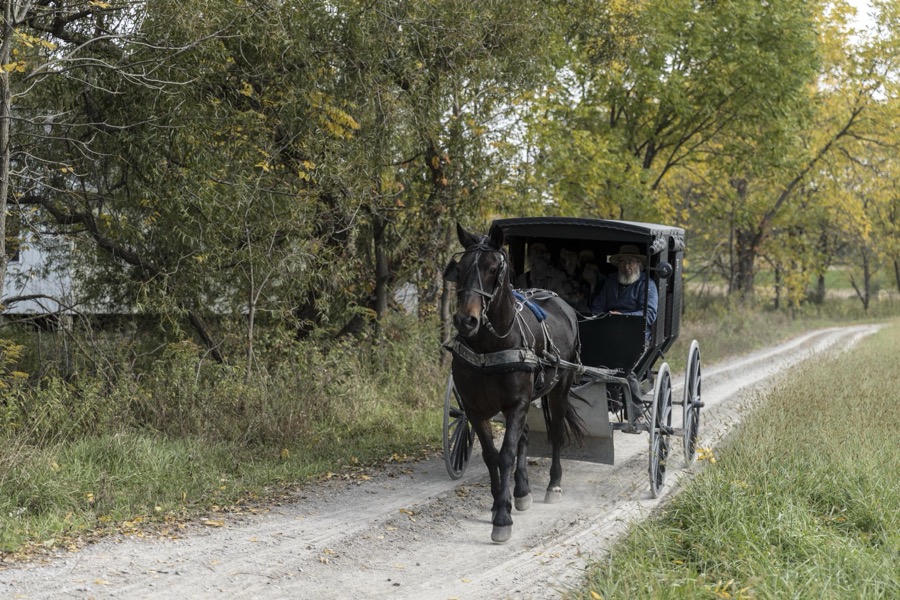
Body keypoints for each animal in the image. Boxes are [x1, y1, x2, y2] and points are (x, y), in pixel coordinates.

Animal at [444, 222, 585, 543]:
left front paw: (502, 518)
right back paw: (521, 490)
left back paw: (553, 485)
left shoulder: (517, 403)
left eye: (494, 268)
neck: (489, 347)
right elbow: (491, 455)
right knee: (524, 438)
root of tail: (560, 302)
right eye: (460, 267)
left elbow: (506, 454)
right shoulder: (475, 409)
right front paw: (500, 502)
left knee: (555, 434)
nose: (466, 321)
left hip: (559, 389)